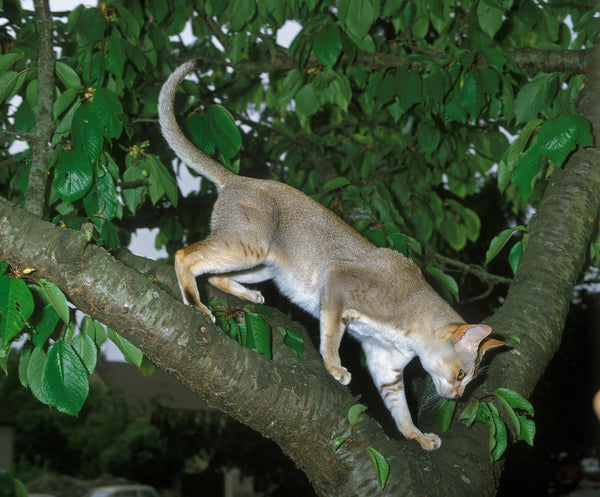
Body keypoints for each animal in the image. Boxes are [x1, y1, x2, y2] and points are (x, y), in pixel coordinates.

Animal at [157, 59, 504, 450]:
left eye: (470, 380)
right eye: (461, 374)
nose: (459, 397)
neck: (412, 319)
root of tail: (239, 179)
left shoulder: (385, 363)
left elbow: (399, 407)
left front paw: (417, 436)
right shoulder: (338, 279)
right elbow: (331, 336)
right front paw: (335, 368)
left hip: (263, 265)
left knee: (215, 273)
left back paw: (248, 295)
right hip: (249, 246)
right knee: (185, 254)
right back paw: (197, 304)